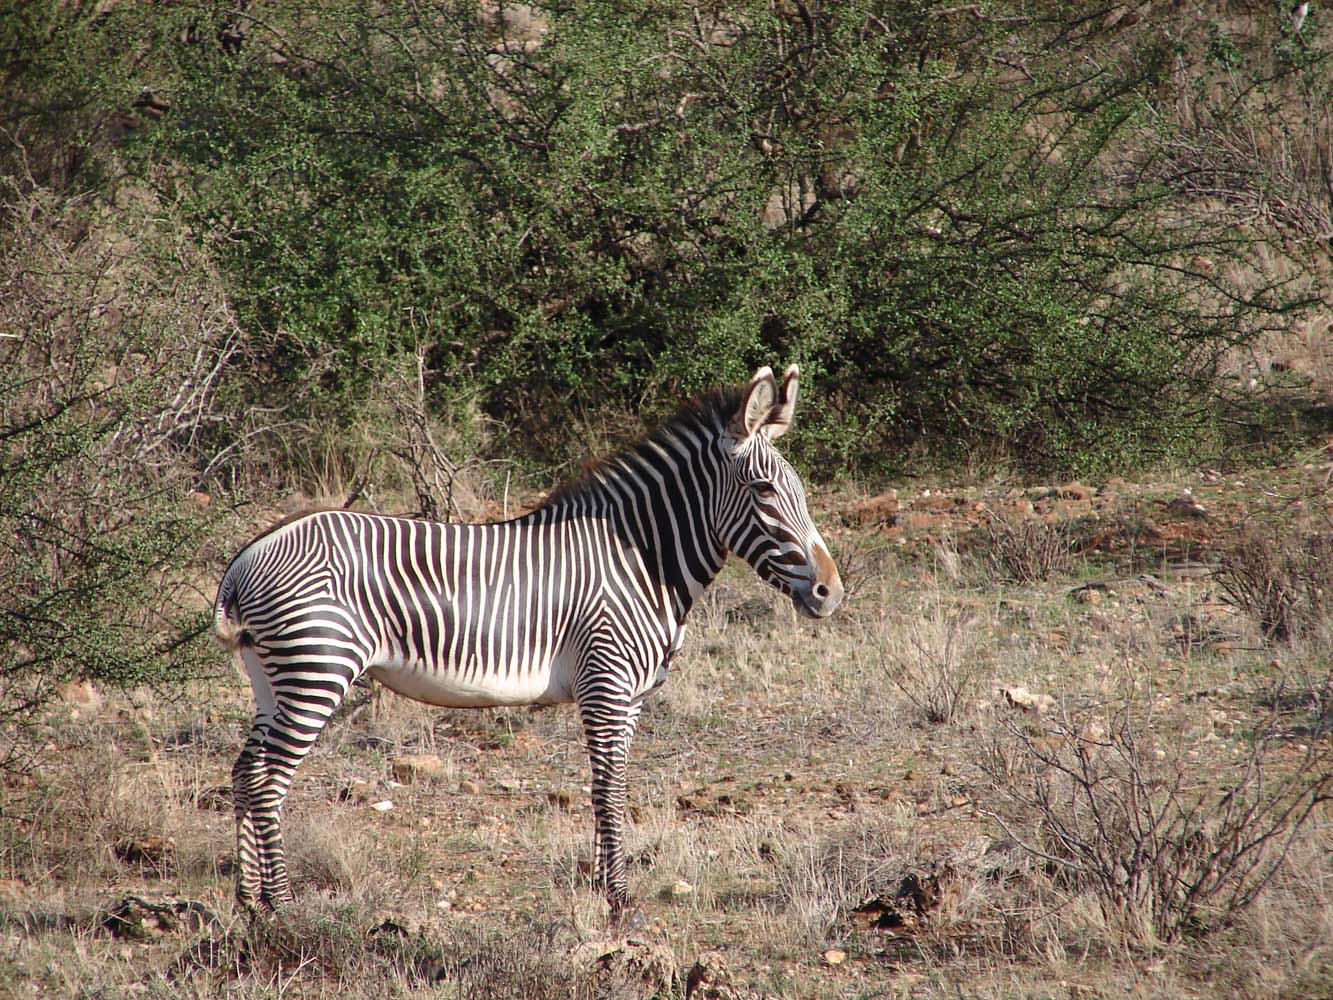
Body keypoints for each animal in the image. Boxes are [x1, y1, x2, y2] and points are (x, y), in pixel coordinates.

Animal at [217, 365, 842, 917]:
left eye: (801, 491)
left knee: (246, 773)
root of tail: (246, 558)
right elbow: (610, 789)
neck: (641, 561)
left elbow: (609, 787)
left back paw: (250, 904)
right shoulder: (607, 684)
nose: (831, 592)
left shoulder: (632, 698)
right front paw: (619, 900)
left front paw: (605, 889)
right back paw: (284, 905)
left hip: (272, 676)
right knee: (270, 781)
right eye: (763, 490)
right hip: (317, 668)